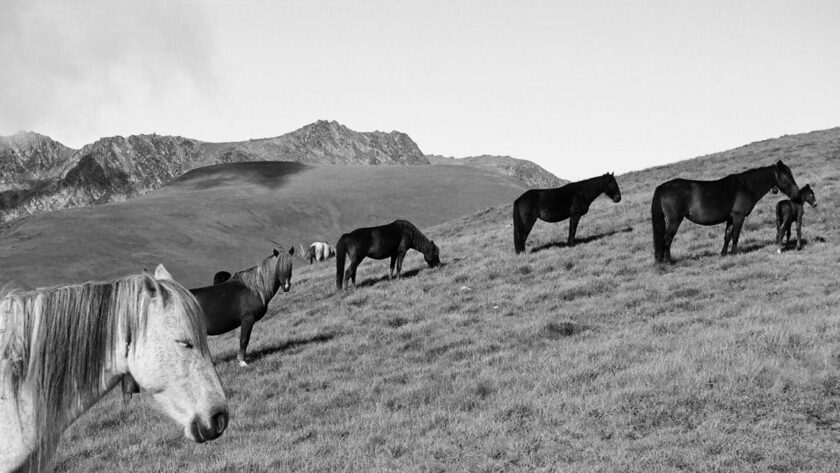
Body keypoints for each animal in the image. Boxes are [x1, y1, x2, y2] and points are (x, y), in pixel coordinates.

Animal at [651, 160, 800, 264]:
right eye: (786, 176)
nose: (797, 194)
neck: (746, 186)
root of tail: (662, 187)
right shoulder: (739, 216)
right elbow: (735, 235)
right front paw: (734, 253)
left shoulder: (730, 218)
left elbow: (727, 235)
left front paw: (723, 253)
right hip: (674, 220)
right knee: (667, 239)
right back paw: (668, 262)